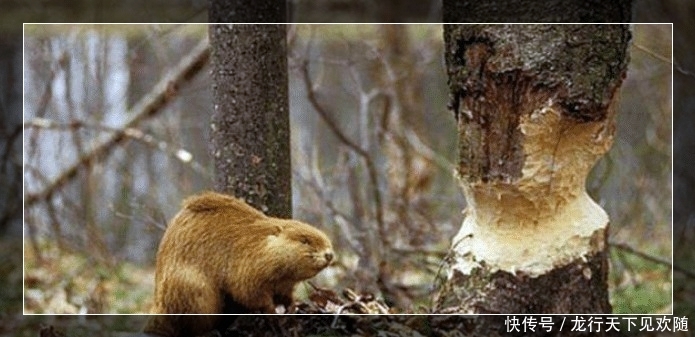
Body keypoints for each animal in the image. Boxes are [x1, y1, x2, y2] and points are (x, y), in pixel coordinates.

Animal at [144, 190, 334, 334]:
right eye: (304, 240)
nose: (329, 255)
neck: (259, 242)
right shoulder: (246, 267)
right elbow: (249, 293)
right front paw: (274, 316)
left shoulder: (283, 283)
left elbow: (285, 296)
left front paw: (292, 308)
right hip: (192, 288)